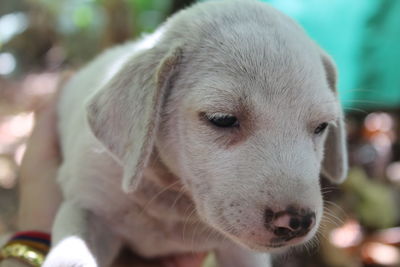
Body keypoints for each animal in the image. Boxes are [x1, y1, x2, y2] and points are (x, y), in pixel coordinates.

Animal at [42, 1, 346, 266]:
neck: (172, 201)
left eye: (321, 127)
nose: (298, 222)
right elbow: (71, 255)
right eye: (222, 119)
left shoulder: (240, 251)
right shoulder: (87, 206)